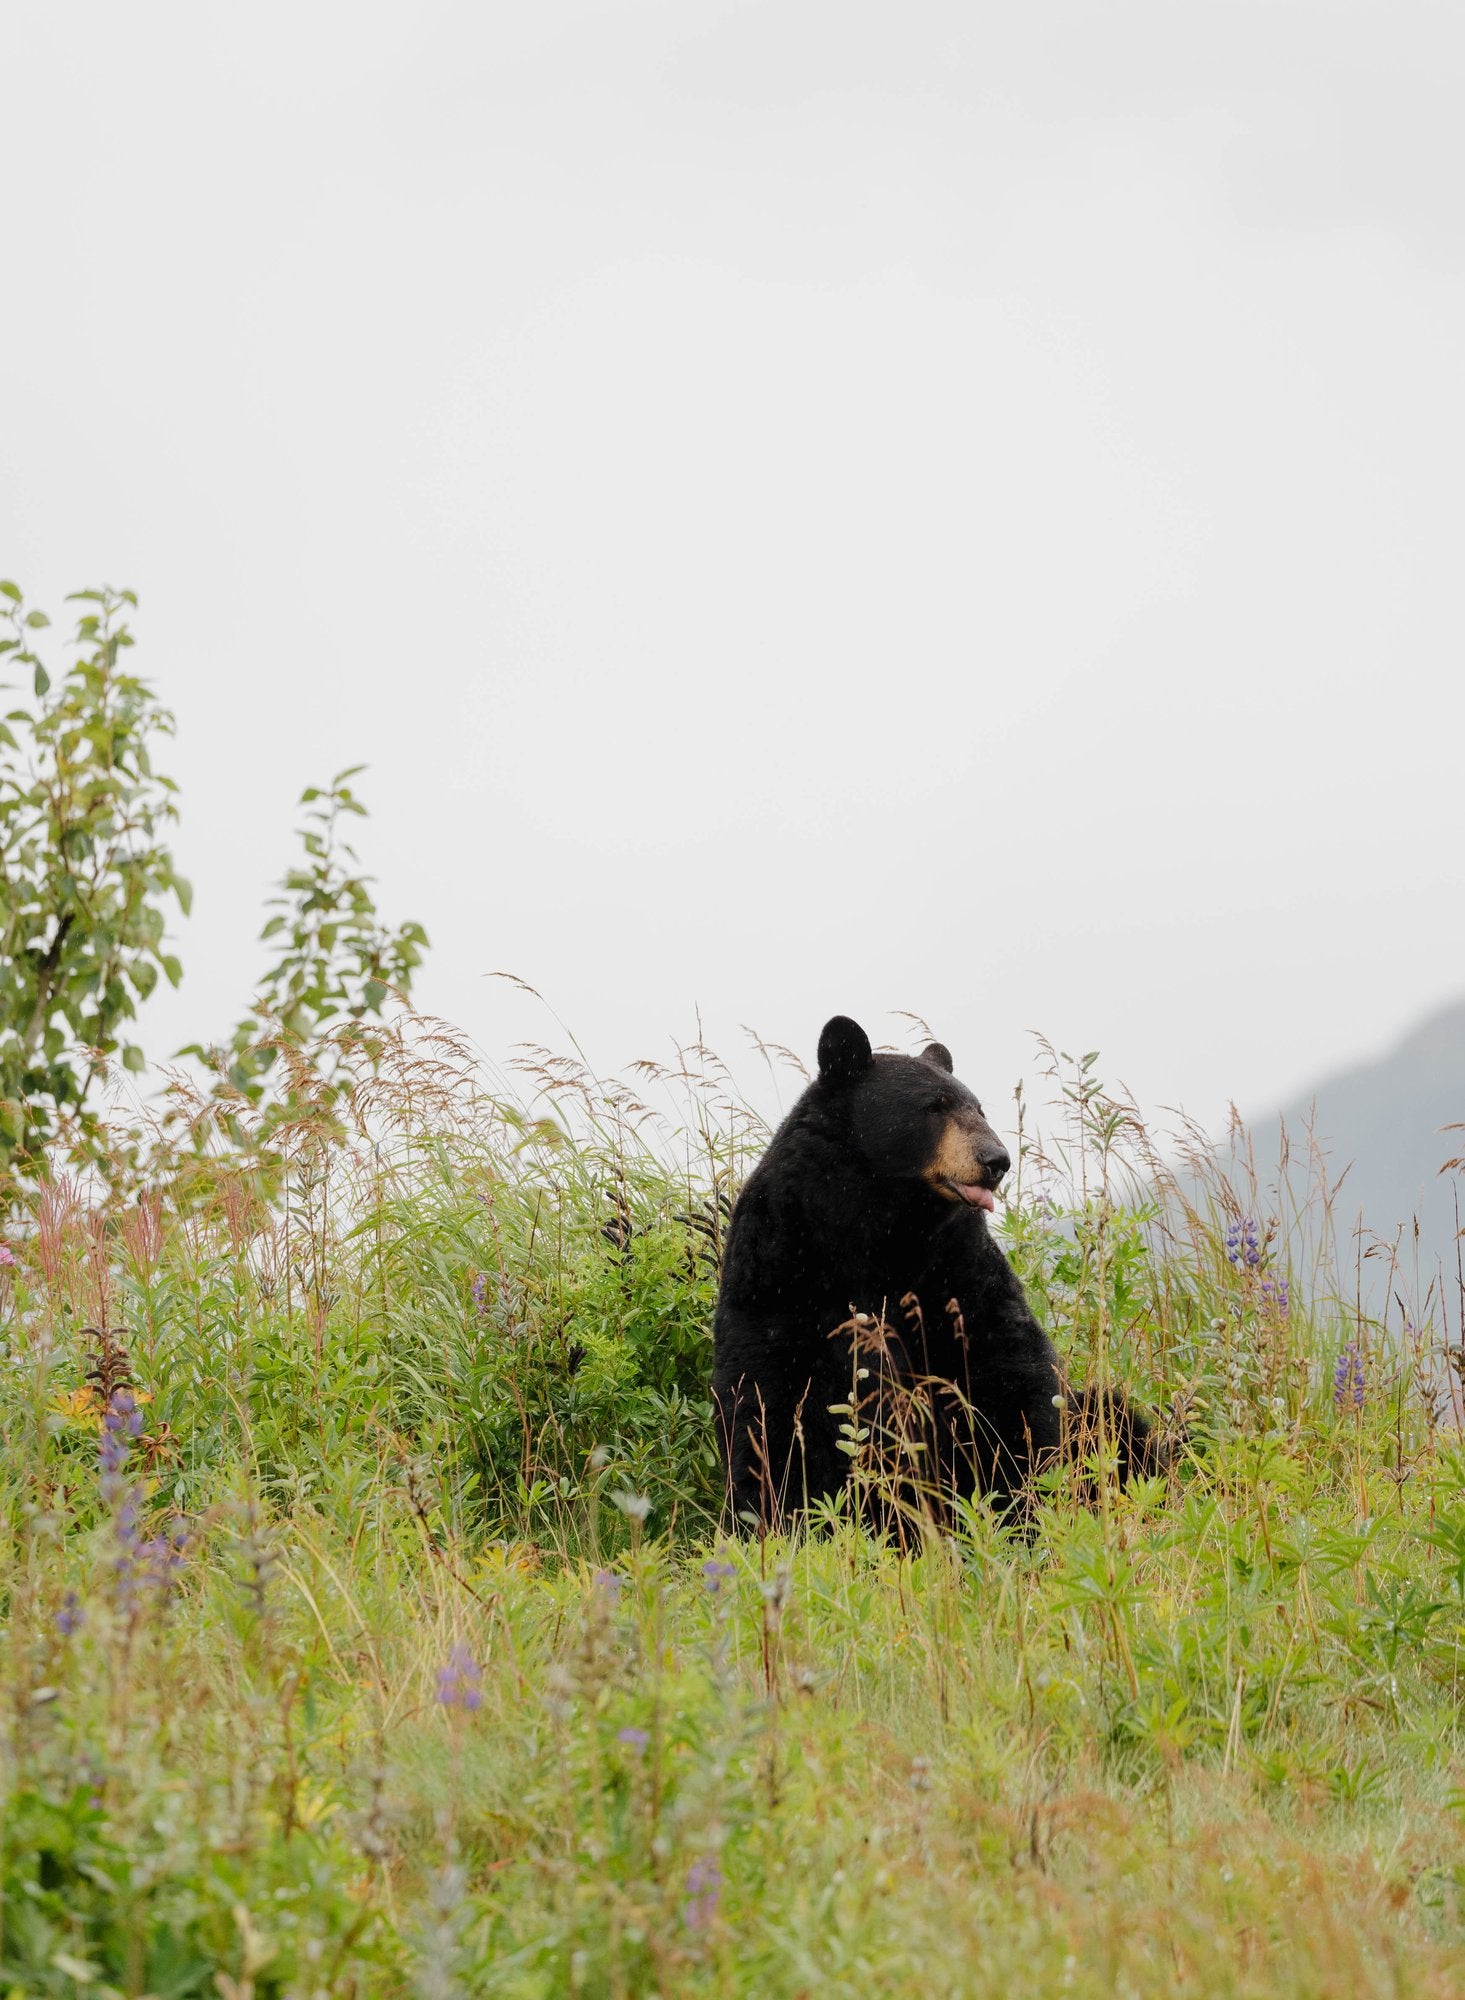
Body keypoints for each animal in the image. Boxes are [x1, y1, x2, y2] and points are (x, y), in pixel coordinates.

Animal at [712, 1015, 1164, 1531]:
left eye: (978, 1108)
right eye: (934, 1107)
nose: (996, 1160)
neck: (881, 1225)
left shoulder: (957, 1266)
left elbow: (1007, 1367)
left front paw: (1016, 1502)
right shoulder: (781, 1262)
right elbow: (765, 1394)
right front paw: (769, 1517)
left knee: (1112, 1416)